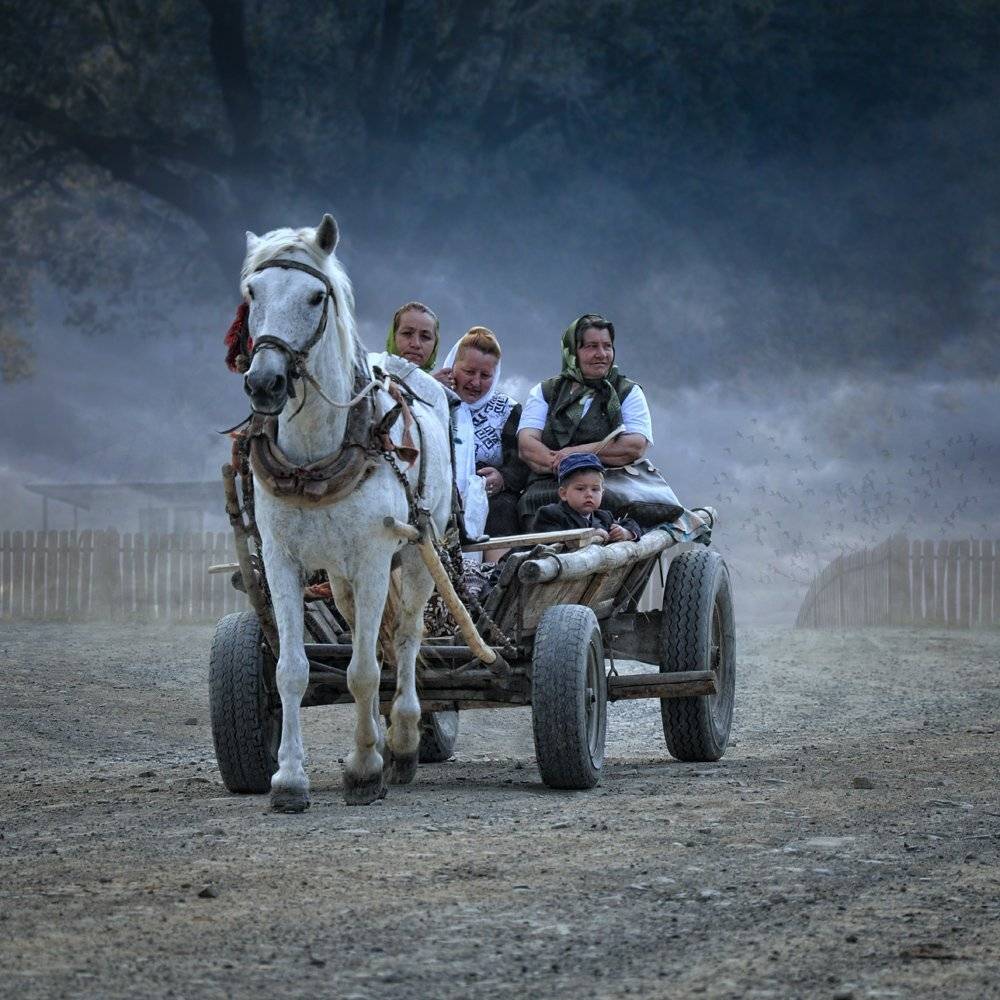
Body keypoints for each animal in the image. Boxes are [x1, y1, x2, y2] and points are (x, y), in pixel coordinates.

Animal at [241, 214, 452, 810]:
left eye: (317, 296)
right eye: (252, 293)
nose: (264, 383)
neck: (317, 454)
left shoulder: (376, 557)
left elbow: (362, 671)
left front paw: (364, 769)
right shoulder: (282, 560)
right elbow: (292, 669)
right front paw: (288, 778)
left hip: (417, 556)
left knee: (404, 641)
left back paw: (400, 741)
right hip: (339, 574)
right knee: (369, 632)